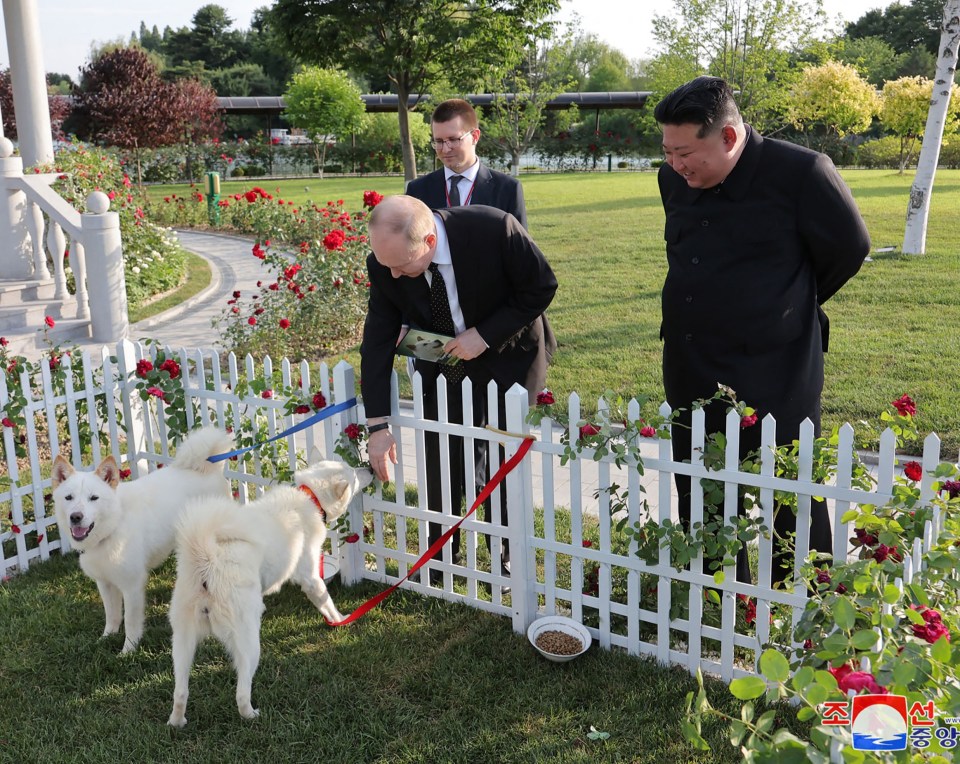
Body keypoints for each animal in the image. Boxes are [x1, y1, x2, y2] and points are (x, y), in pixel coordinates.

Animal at [52, 426, 232, 652]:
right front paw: (106, 638)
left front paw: (128, 650)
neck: (114, 525)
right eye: (68, 498)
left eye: (94, 498)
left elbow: (130, 621)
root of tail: (209, 467)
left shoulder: (132, 586)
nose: (76, 517)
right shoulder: (105, 583)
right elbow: (112, 615)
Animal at [167, 456, 374, 724]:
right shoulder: (310, 577)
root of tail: (206, 559)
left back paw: (177, 722)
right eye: (354, 475)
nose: (370, 468)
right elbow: (326, 602)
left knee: (180, 691)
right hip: (248, 641)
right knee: (241, 692)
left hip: (182, 641)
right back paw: (251, 715)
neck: (309, 495)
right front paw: (340, 620)